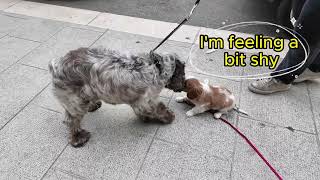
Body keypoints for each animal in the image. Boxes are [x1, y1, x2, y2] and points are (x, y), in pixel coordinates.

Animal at [48, 47, 186, 147]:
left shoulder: (138, 101)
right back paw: (77, 138)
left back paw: (93, 105)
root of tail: (56, 65)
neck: (157, 66)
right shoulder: (146, 101)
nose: (183, 86)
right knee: (71, 120)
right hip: (75, 101)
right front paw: (168, 116)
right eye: (183, 73)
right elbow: (159, 108)